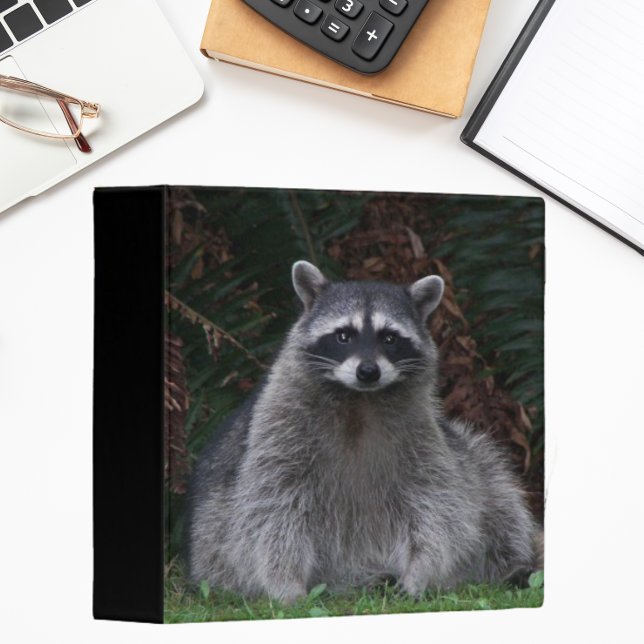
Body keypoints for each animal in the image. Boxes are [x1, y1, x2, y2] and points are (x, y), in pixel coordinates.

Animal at [184, 261, 539, 603]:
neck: (359, 399)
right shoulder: (276, 431)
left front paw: (420, 571)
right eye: (344, 335)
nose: (368, 371)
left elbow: (436, 504)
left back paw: (511, 566)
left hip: (468, 454)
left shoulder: (425, 436)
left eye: (389, 338)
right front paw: (286, 582)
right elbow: (272, 509)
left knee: (497, 494)